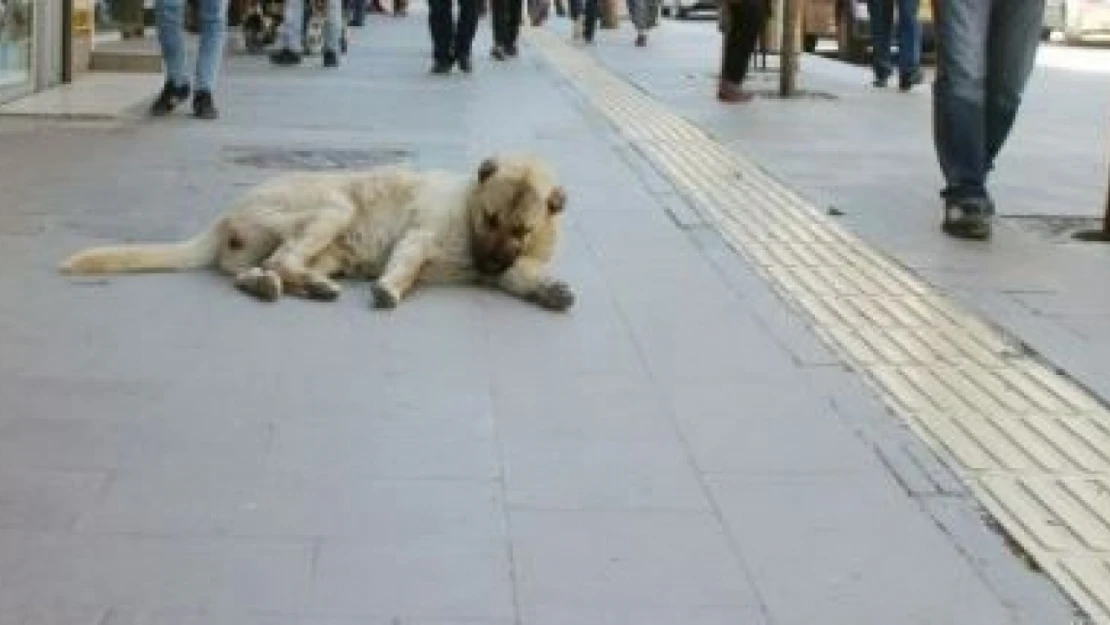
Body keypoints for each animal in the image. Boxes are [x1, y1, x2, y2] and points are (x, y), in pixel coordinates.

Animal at [59, 155, 577, 310]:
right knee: (284, 259)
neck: (467, 208)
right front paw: (391, 287)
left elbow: (522, 276)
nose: (488, 263)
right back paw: (301, 285)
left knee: (266, 268)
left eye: (520, 228)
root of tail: (226, 212)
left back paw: (277, 285)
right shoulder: (419, 237)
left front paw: (550, 290)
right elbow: (407, 263)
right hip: (334, 209)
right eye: (489, 218)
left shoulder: (513, 264)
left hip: (326, 247)